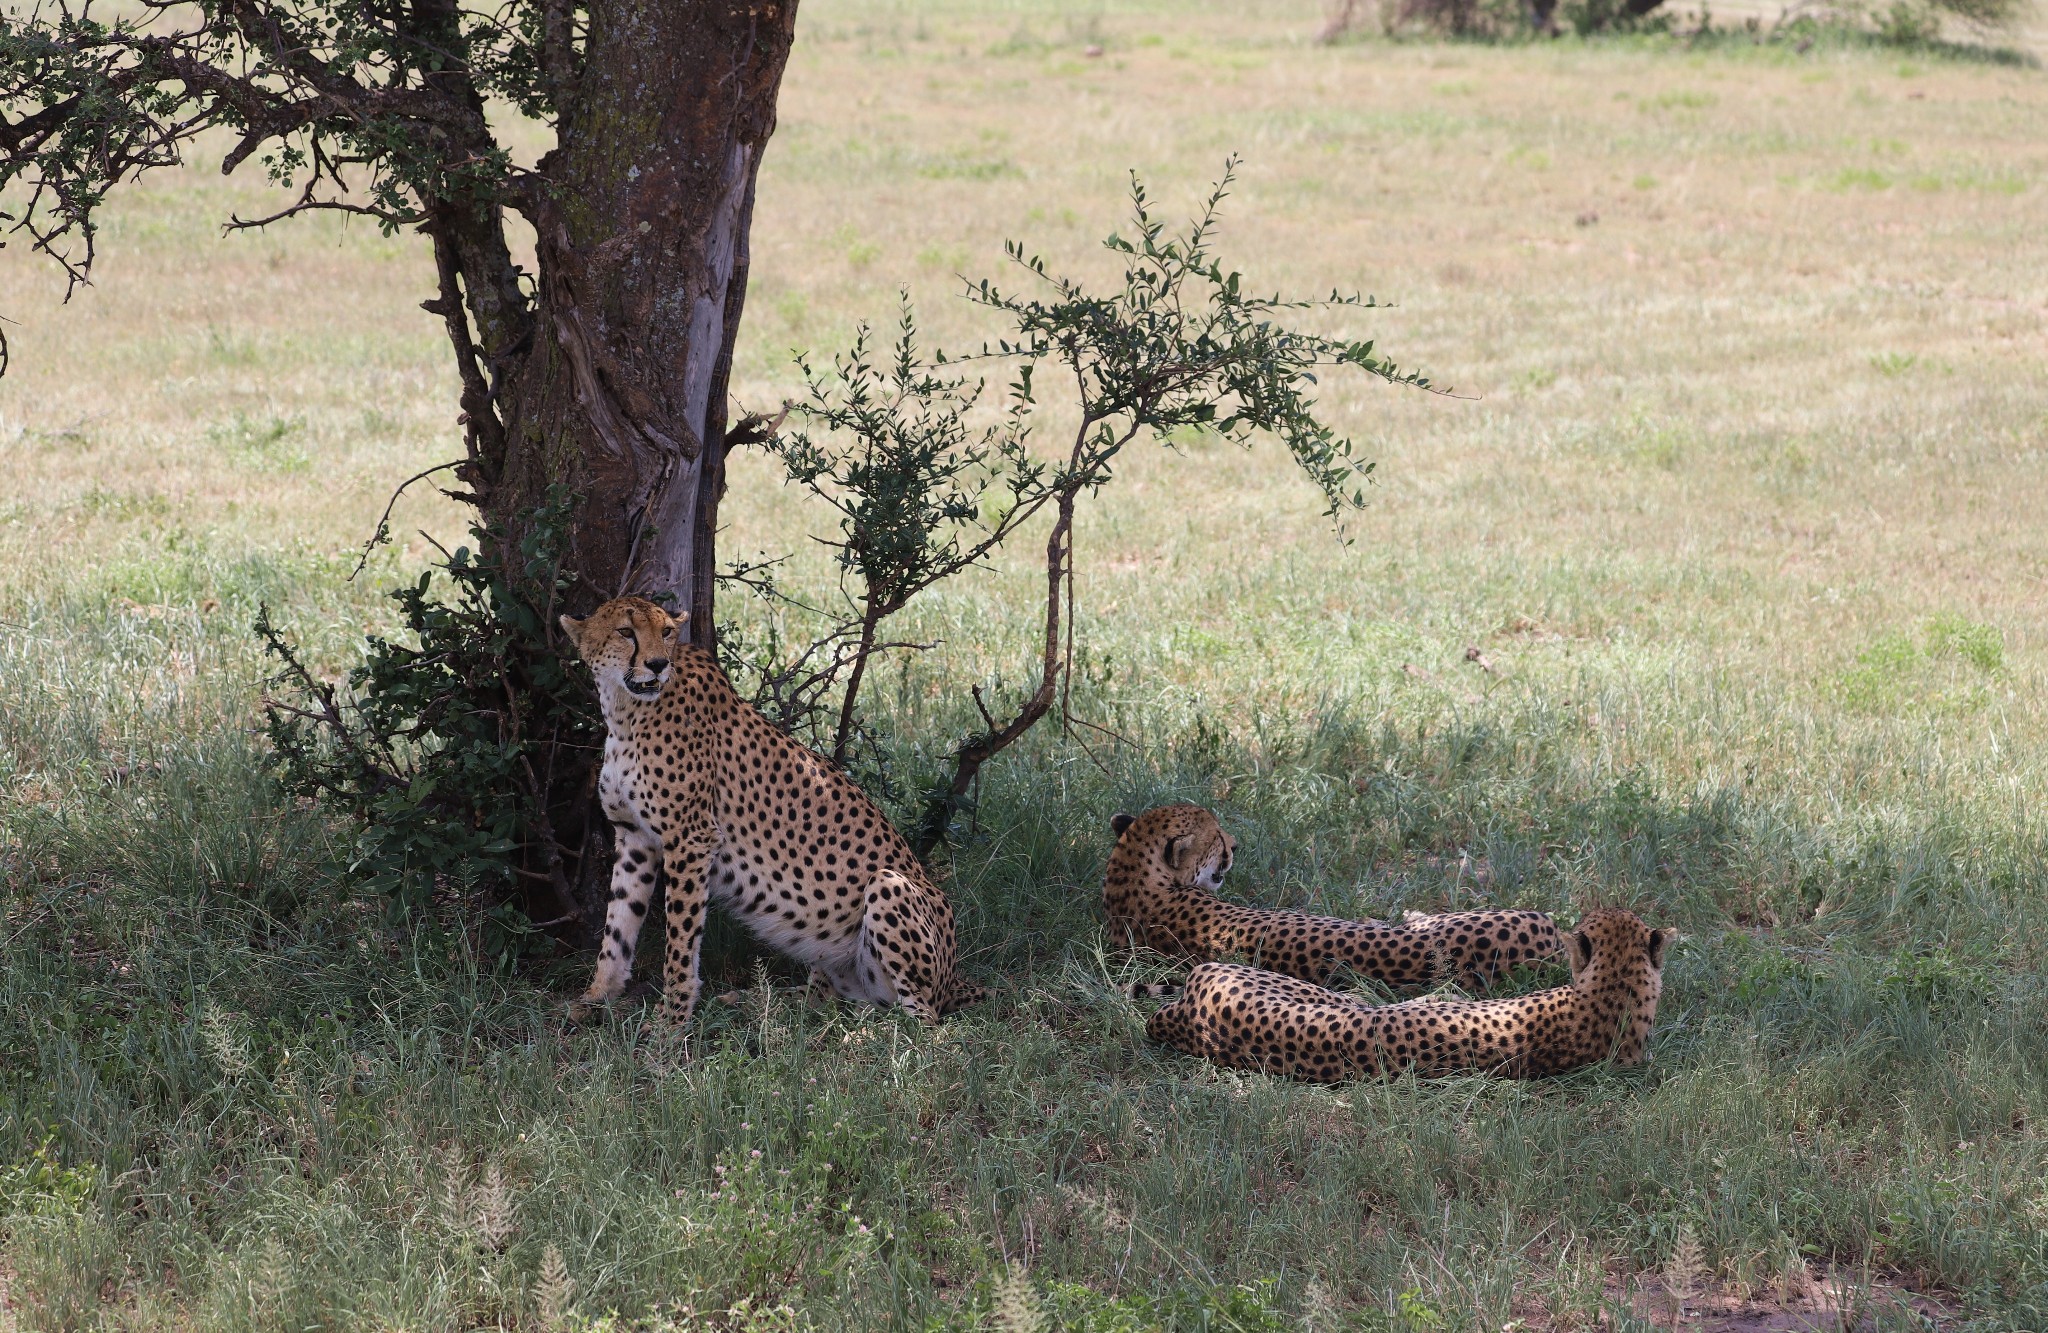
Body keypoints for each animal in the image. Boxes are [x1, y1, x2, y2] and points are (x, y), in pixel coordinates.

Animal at [557, 597, 978, 1027]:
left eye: (666, 633)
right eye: (626, 632)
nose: (658, 664)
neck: (624, 709)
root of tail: (956, 979)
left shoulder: (690, 838)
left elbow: (680, 940)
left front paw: (672, 1022)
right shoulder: (635, 837)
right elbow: (617, 928)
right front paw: (596, 999)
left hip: (890, 885)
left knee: (923, 1024)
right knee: (830, 1002)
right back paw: (759, 1003)